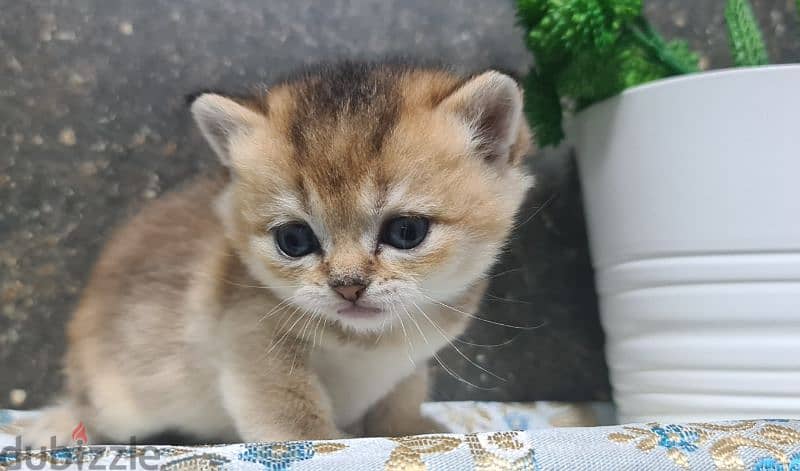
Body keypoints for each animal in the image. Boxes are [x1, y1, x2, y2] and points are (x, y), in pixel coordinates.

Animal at [25, 62, 536, 450]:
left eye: (406, 232)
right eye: (294, 239)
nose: (348, 286)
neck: (370, 342)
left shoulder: (410, 360)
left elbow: (402, 393)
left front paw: (407, 429)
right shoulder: (249, 336)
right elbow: (287, 407)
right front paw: (324, 441)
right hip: (117, 397)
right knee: (89, 406)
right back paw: (59, 426)